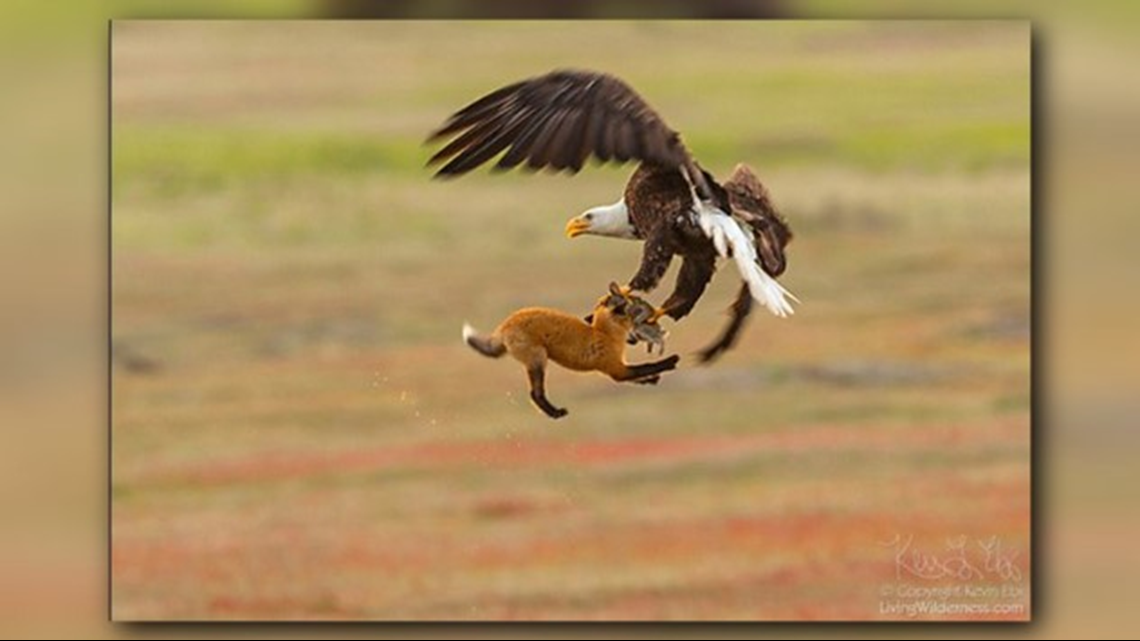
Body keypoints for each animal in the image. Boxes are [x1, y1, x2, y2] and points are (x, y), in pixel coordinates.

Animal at [462, 282, 680, 419]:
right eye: (638, 307)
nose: (655, 314)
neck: (603, 333)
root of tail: (504, 325)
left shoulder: (619, 367)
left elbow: (640, 376)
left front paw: (652, 380)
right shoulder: (615, 370)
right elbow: (647, 366)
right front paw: (670, 361)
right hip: (538, 360)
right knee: (535, 394)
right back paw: (555, 413)